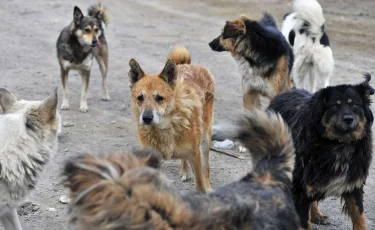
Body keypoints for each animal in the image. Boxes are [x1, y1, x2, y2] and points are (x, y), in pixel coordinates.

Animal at [126, 45, 214, 191]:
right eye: (140, 97)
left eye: (159, 98)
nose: (146, 118)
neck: (167, 126)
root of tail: (187, 64)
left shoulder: (195, 154)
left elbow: (200, 184)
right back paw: (184, 170)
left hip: (205, 137)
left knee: (206, 167)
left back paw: (208, 185)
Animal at [268, 73, 374, 230]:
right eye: (335, 105)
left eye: (354, 104)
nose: (348, 119)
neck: (338, 144)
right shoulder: (300, 188)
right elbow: (304, 222)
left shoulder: (353, 183)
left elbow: (359, 216)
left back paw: (317, 215)